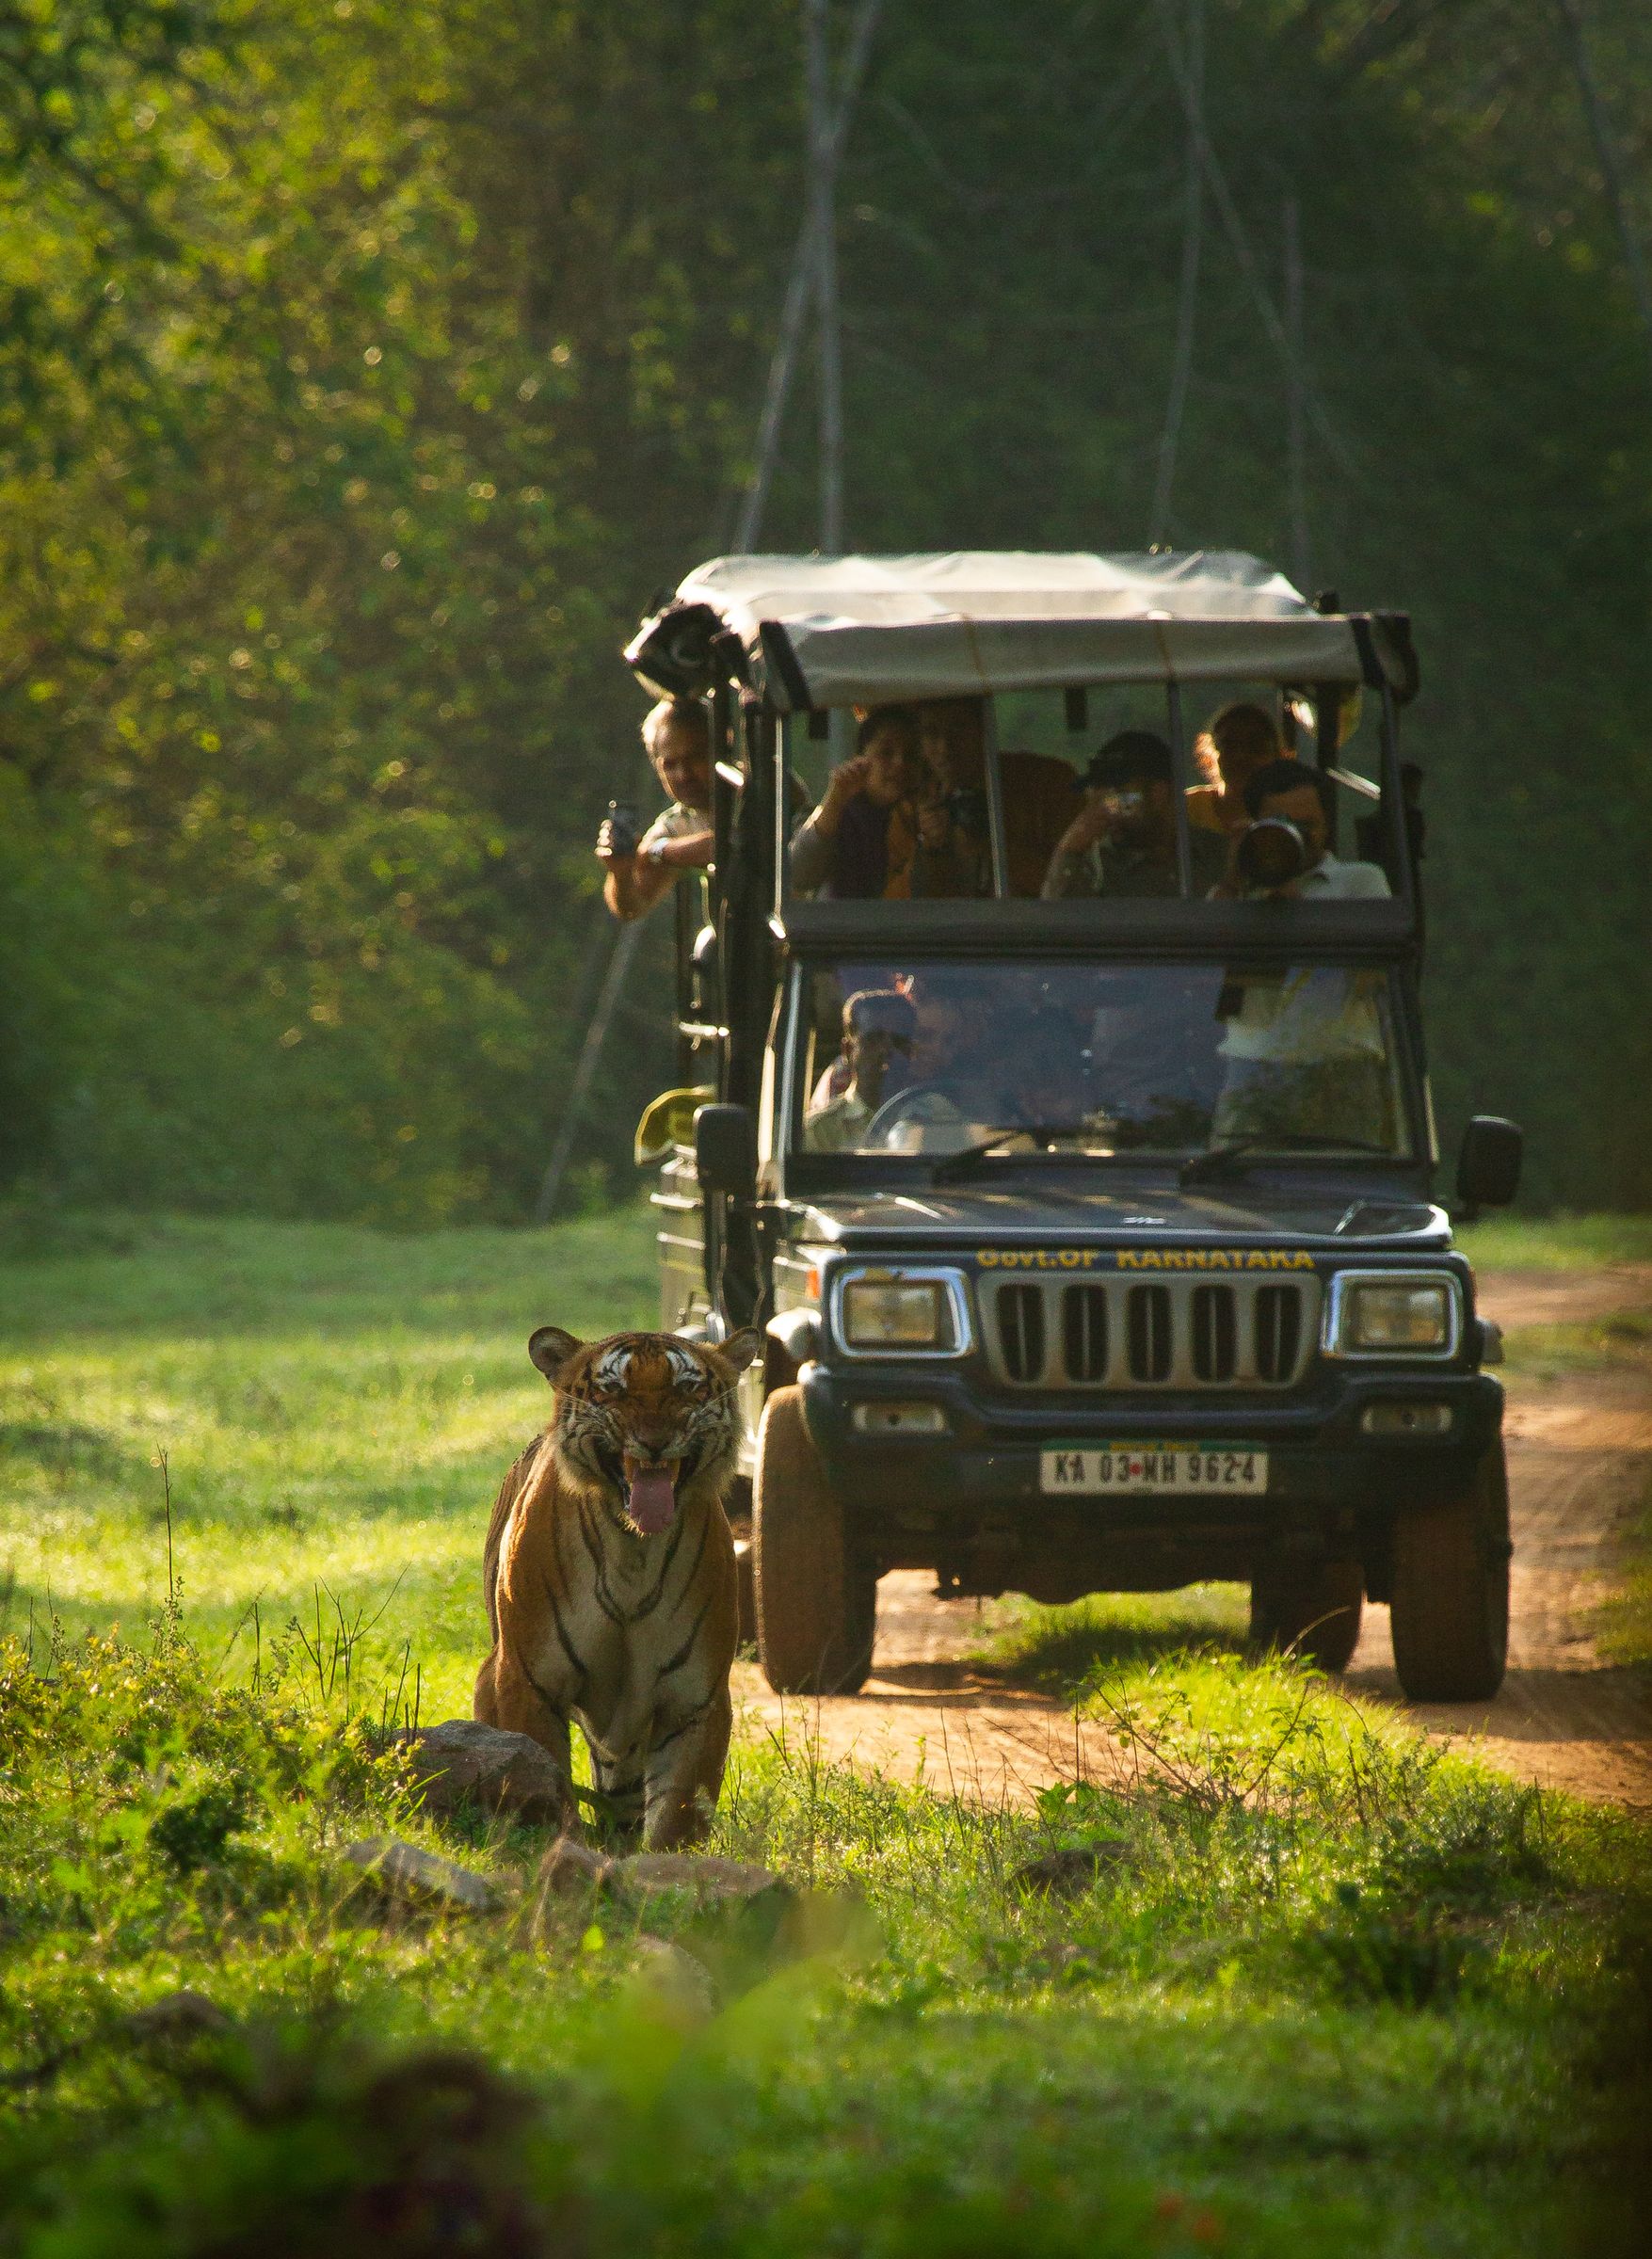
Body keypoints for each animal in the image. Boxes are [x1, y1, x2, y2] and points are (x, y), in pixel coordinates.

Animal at [473, 1323, 761, 1850]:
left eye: (687, 1387)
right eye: (613, 1389)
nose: (654, 1442)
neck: (634, 1551)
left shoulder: (696, 1700)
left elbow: (678, 1814)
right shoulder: (528, 1680)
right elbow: (545, 1779)